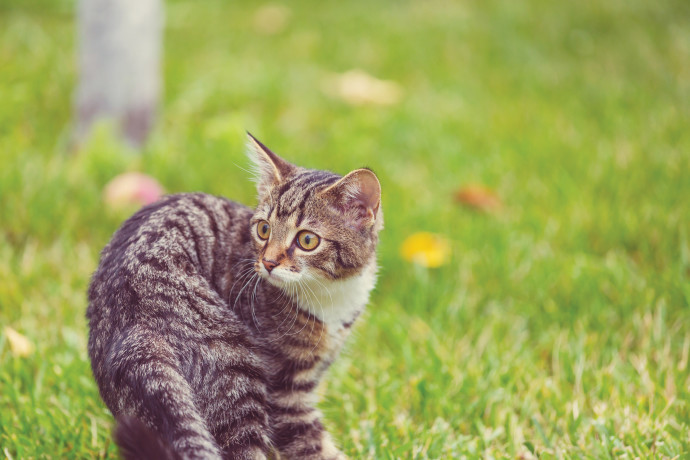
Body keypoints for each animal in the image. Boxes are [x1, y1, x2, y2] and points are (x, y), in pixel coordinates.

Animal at [86, 134, 382, 460]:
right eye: (264, 229)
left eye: (307, 240)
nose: (268, 262)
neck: (333, 295)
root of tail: (133, 318)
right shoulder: (285, 392)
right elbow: (312, 445)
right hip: (233, 362)